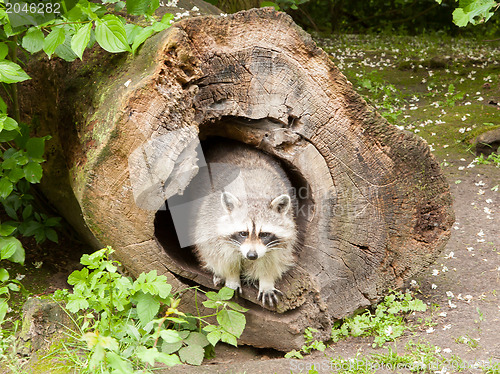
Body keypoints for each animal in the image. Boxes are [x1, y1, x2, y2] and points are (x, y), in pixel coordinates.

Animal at [191, 140, 296, 306]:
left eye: (264, 234)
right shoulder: (209, 223)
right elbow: (220, 256)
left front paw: (266, 281)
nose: (252, 255)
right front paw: (231, 277)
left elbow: (274, 259)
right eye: (243, 233)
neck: (254, 195)